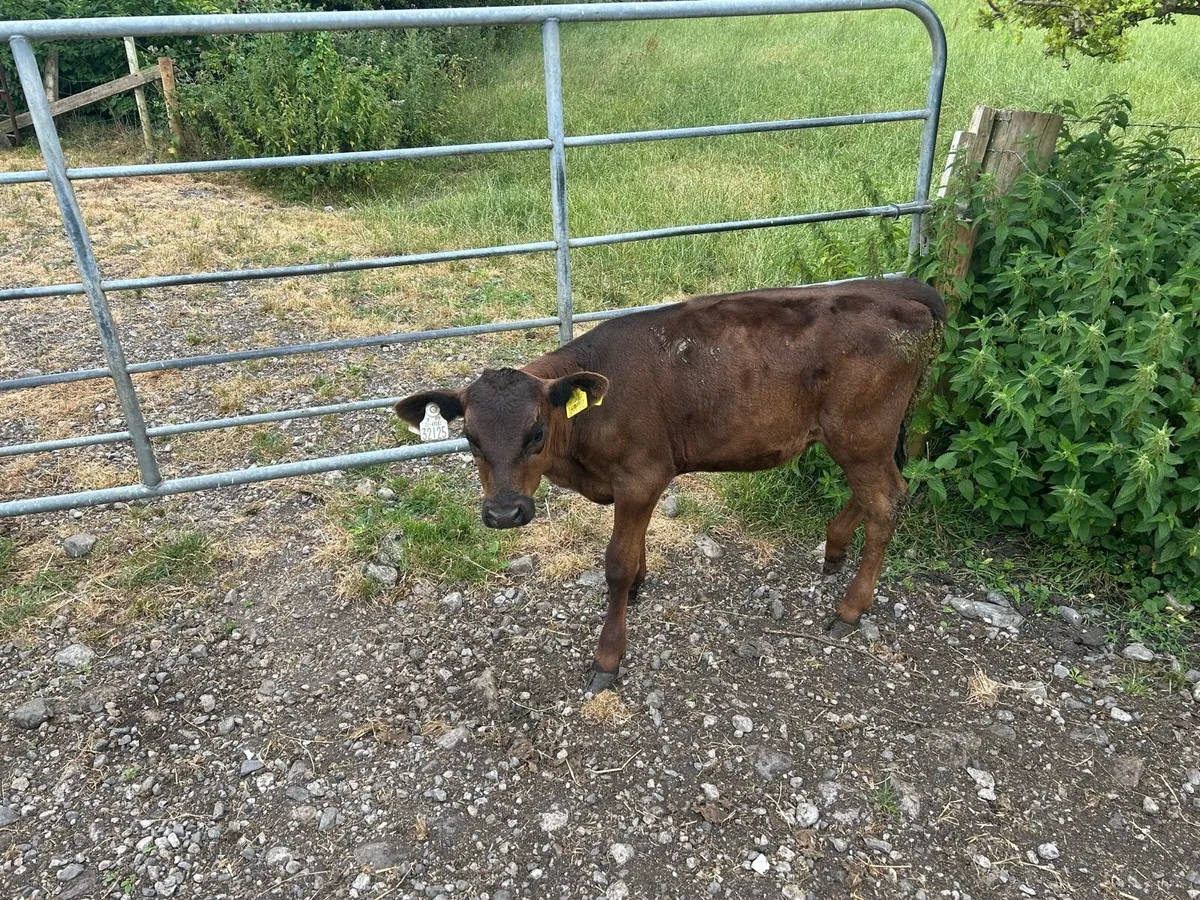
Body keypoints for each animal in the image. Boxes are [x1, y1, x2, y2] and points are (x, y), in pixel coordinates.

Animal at [395, 277, 946, 694]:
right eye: (470, 438)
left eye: (536, 432)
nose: (505, 513)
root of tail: (901, 288)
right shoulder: (636, 484)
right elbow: (635, 548)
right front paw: (640, 585)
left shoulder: (642, 476)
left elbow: (616, 563)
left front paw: (608, 657)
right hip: (856, 438)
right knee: (880, 493)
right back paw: (834, 549)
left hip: (861, 432)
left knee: (886, 502)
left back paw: (851, 608)